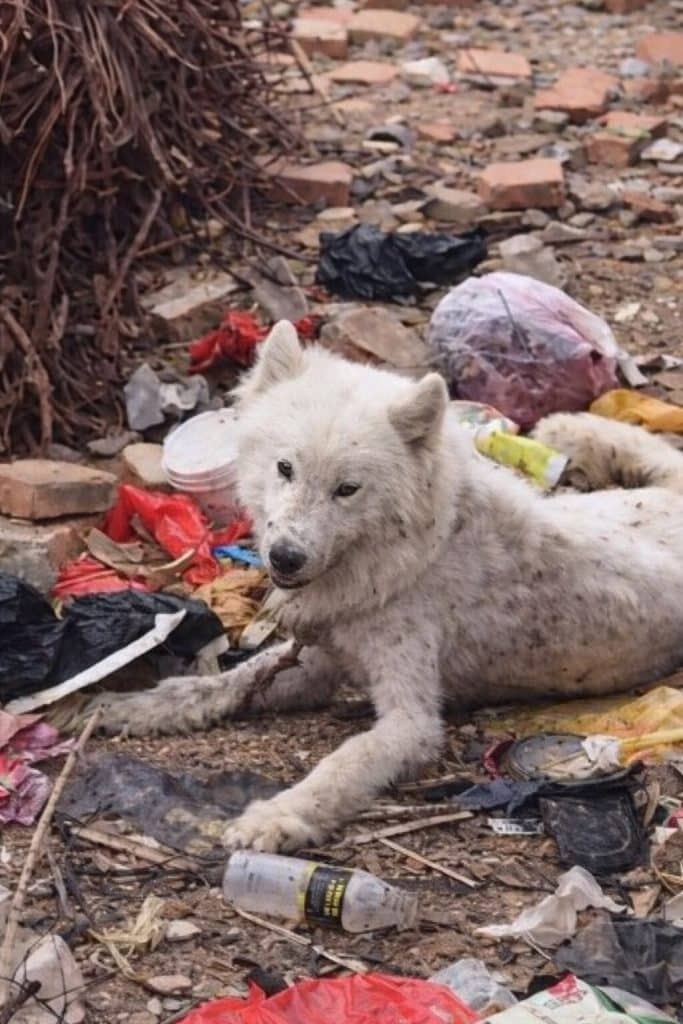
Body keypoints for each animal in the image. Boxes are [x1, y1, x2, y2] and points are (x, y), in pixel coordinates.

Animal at [93, 320, 683, 852]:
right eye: (284, 468)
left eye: (347, 489)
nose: (286, 558)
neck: (420, 546)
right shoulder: (318, 661)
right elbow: (223, 683)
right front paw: (138, 707)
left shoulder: (411, 720)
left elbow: (342, 763)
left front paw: (278, 817)